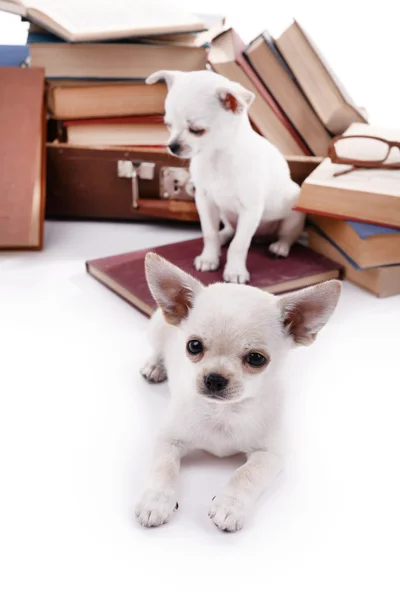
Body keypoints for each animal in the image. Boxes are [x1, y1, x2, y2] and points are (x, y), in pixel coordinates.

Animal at [135, 252, 340, 528]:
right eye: (193, 346)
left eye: (256, 359)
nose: (214, 379)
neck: (224, 412)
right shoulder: (167, 439)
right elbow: (163, 468)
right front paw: (156, 501)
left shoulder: (270, 455)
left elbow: (246, 474)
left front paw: (230, 506)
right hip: (157, 330)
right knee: (156, 349)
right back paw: (155, 366)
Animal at [147, 69, 306, 284]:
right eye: (168, 126)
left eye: (197, 130)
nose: (172, 146)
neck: (216, 157)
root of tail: (261, 237)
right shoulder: (205, 202)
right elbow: (209, 233)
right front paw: (209, 258)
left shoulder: (250, 210)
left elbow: (239, 245)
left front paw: (235, 271)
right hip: (224, 213)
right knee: (228, 230)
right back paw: (223, 237)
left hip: (294, 209)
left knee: (287, 235)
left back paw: (280, 247)